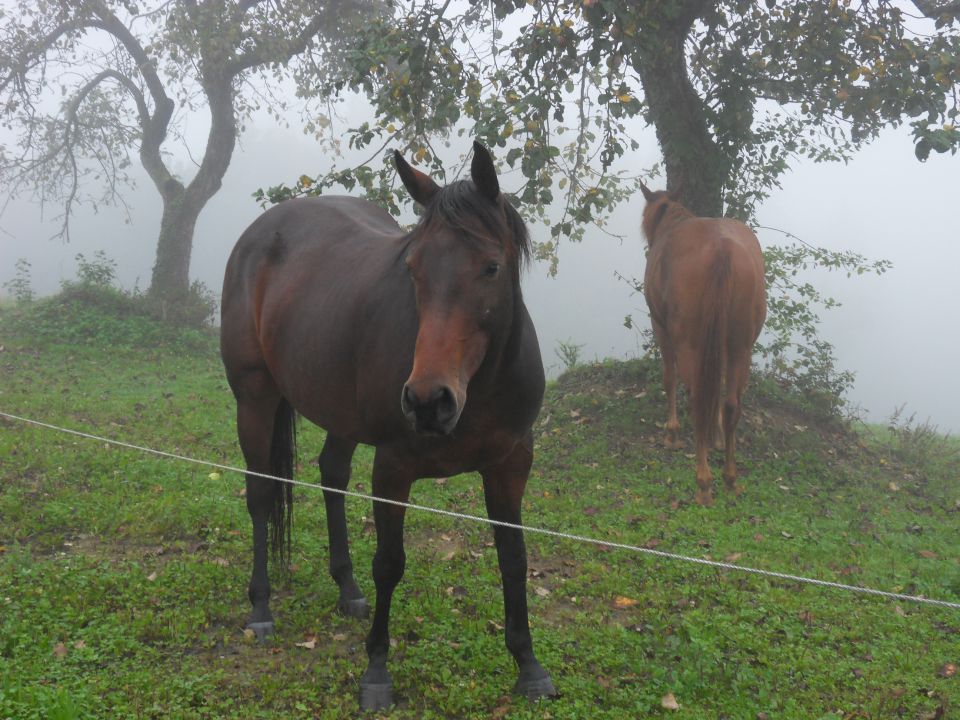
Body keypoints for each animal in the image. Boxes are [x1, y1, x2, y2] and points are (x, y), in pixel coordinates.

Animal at [218, 141, 556, 708]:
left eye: (490, 268)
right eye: (413, 269)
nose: (427, 401)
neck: (480, 387)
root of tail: (259, 231)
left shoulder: (511, 465)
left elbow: (513, 558)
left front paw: (529, 665)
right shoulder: (393, 469)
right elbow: (390, 562)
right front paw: (377, 670)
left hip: (339, 413)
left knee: (331, 476)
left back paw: (347, 589)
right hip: (255, 397)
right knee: (261, 494)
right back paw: (261, 608)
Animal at [640, 183, 768, 504]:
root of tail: (722, 248)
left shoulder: (661, 327)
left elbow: (669, 378)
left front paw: (672, 434)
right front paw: (717, 436)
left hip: (689, 343)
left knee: (697, 397)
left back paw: (703, 482)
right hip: (740, 348)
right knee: (732, 403)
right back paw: (730, 478)